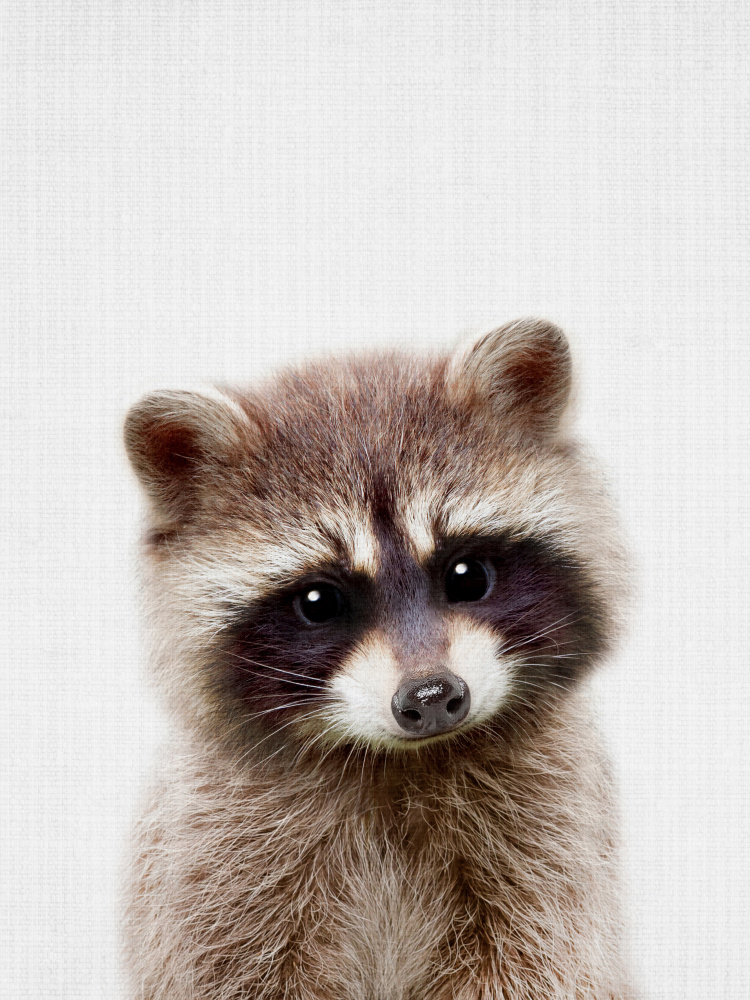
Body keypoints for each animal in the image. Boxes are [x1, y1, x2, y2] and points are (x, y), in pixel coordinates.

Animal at [122, 319, 634, 1000]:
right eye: (318, 601)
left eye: (468, 575)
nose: (431, 697)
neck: (398, 762)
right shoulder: (215, 859)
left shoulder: (551, 839)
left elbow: (539, 960)